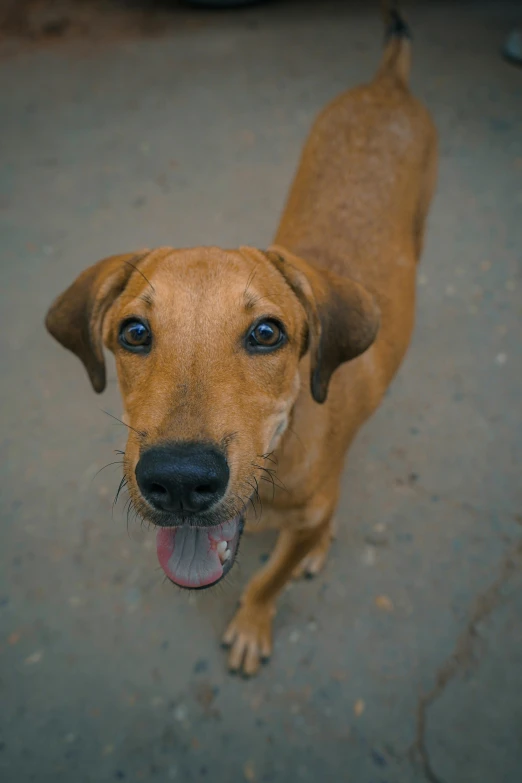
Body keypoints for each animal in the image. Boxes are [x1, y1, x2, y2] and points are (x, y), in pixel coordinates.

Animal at [44, 3, 434, 676]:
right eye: (134, 332)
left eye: (267, 333)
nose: (178, 481)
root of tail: (388, 84)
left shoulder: (306, 510)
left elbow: (268, 579)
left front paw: (253, 622)